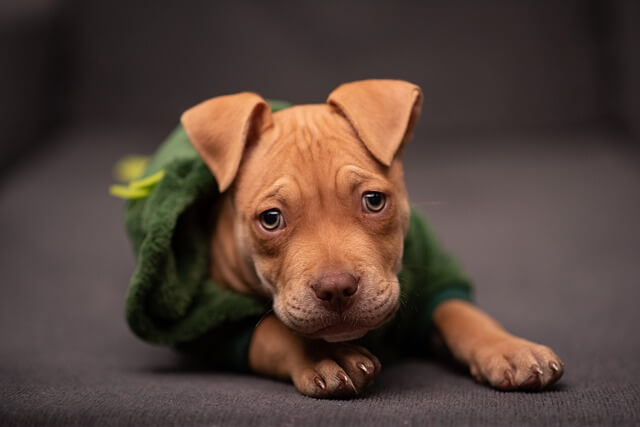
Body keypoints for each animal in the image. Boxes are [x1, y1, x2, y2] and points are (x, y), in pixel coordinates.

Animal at [181, 79, 564, 398]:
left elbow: (462, 314)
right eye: (271, 220)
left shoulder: (434, 280)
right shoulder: (209, 321)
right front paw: (325, 355)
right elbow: (271, 333)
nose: (336, 288)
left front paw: (510, 348)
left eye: (374, 201)